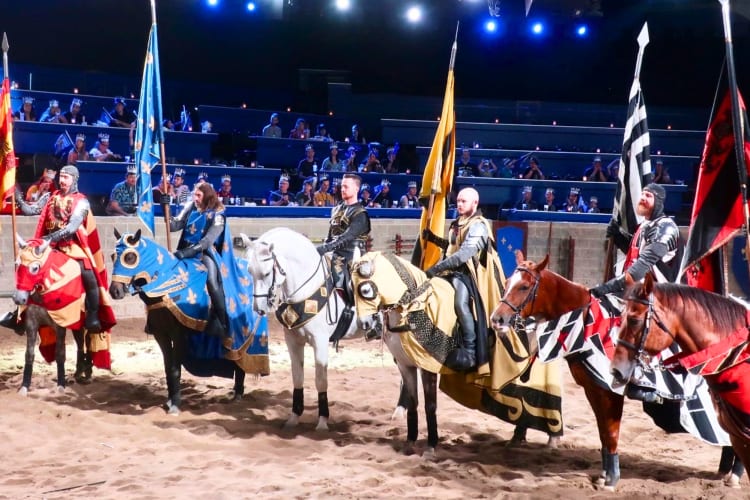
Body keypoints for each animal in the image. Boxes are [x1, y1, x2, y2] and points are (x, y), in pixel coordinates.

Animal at [242, 227, 368, 430]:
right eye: (250, 271)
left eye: (268, 273)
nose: (259, 308)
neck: (308, 287)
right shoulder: (293, 342)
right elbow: (297, 377)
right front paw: (294, 418)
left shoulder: (320, 343)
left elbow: (321, 380)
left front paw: (323, 422)